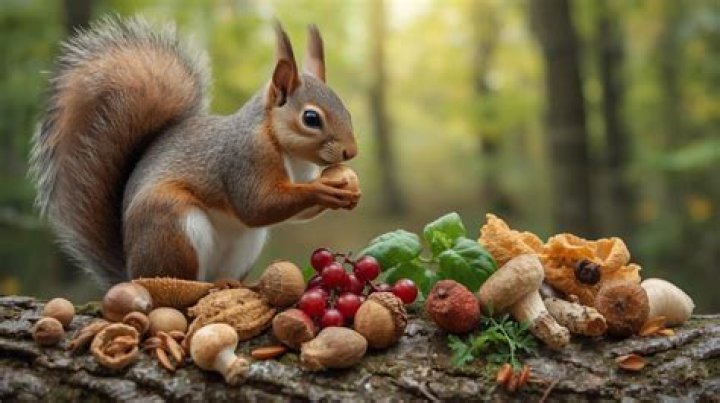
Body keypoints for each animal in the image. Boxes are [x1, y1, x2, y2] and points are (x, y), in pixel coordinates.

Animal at [29, 17, 360, 287]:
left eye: (346, 110)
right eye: (311, 118)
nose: (351, 152)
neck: (290, 154)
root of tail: (131, 274)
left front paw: (348, 194)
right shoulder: (245, 158)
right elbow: (257, 205)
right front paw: (323, 189)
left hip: (246, 245)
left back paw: (235, 284)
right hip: (173, 225)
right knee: (184, 282)